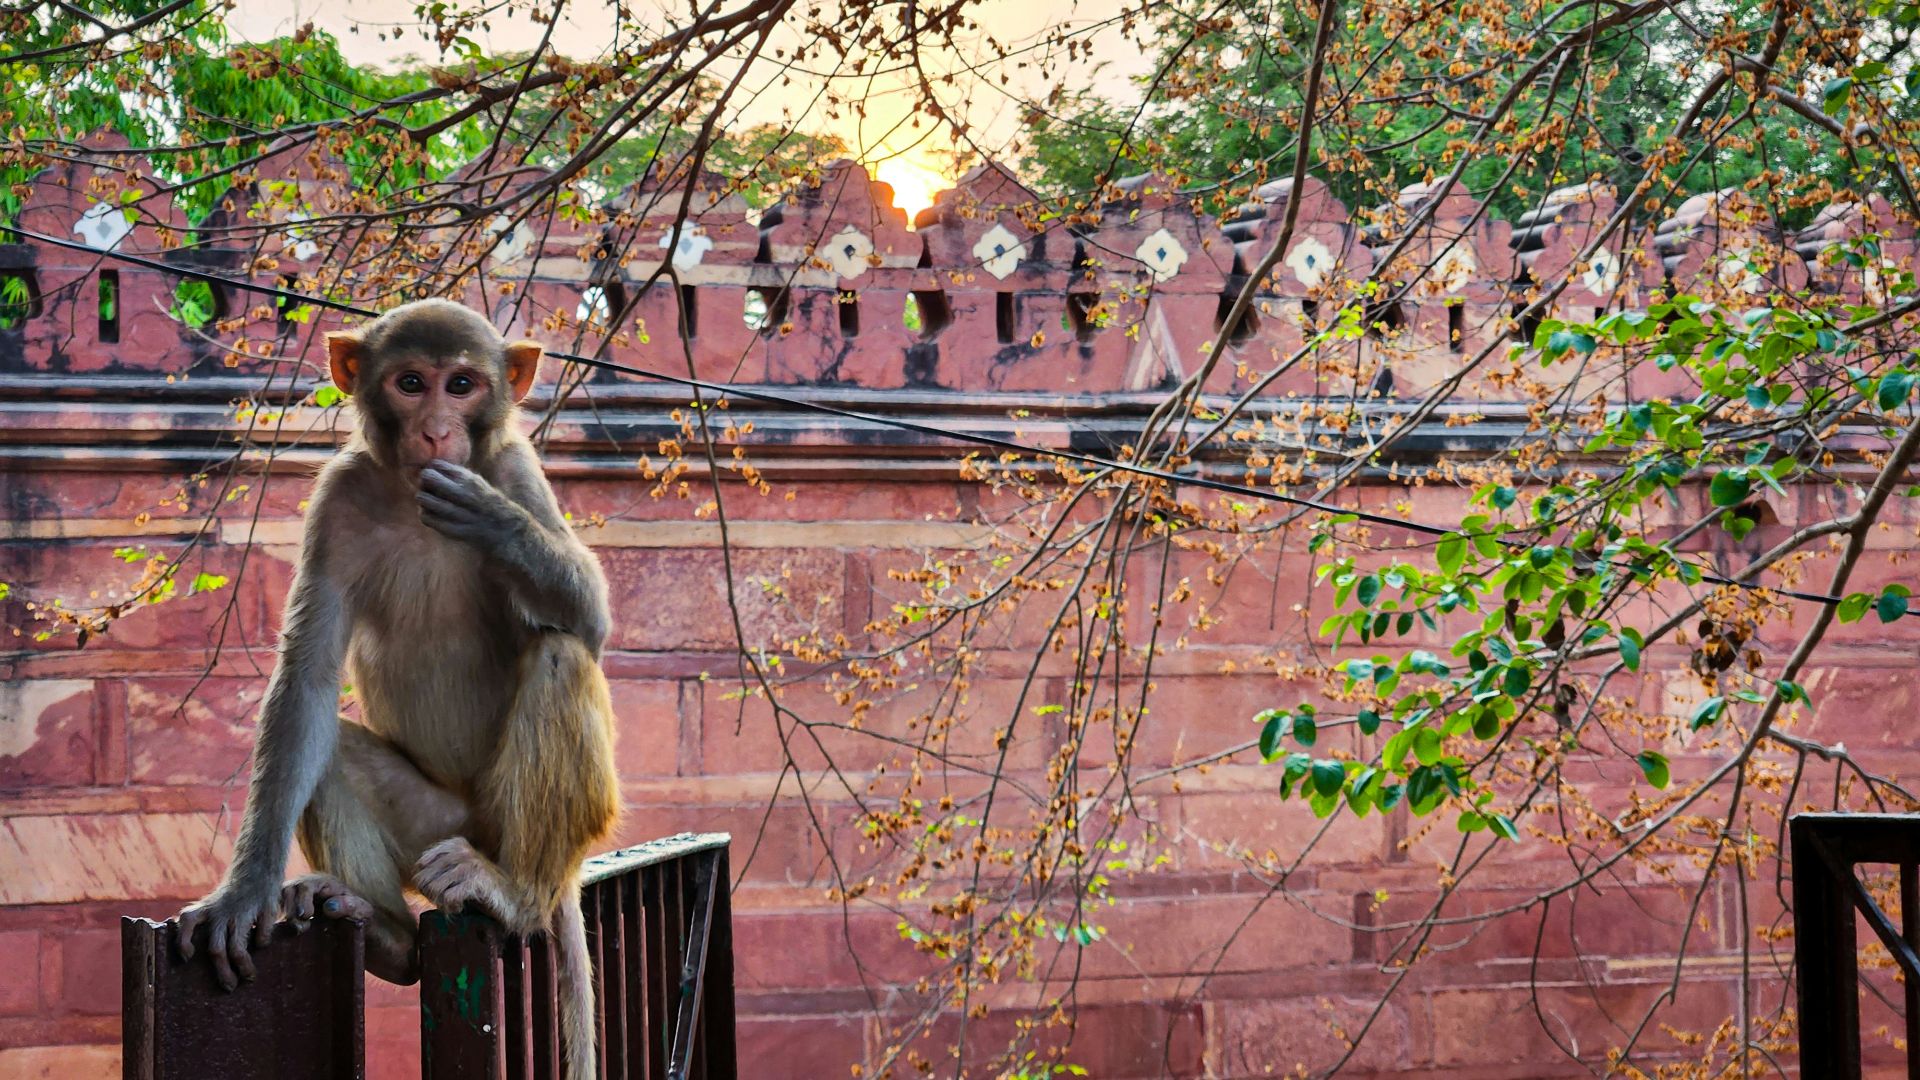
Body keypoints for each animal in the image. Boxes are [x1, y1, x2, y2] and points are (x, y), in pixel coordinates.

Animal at [172, 298, 620, 1080]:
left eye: (462, 384)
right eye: (412, 383)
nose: (437, 429)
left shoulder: (515, 467)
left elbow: (588, 625)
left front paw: (497, 524)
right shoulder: (337, 496)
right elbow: (307, 680)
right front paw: (243, 892)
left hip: (518, 824)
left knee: (562, 656)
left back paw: (516, 899)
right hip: (433, 825)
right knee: (327, 749)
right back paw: (381, 932)